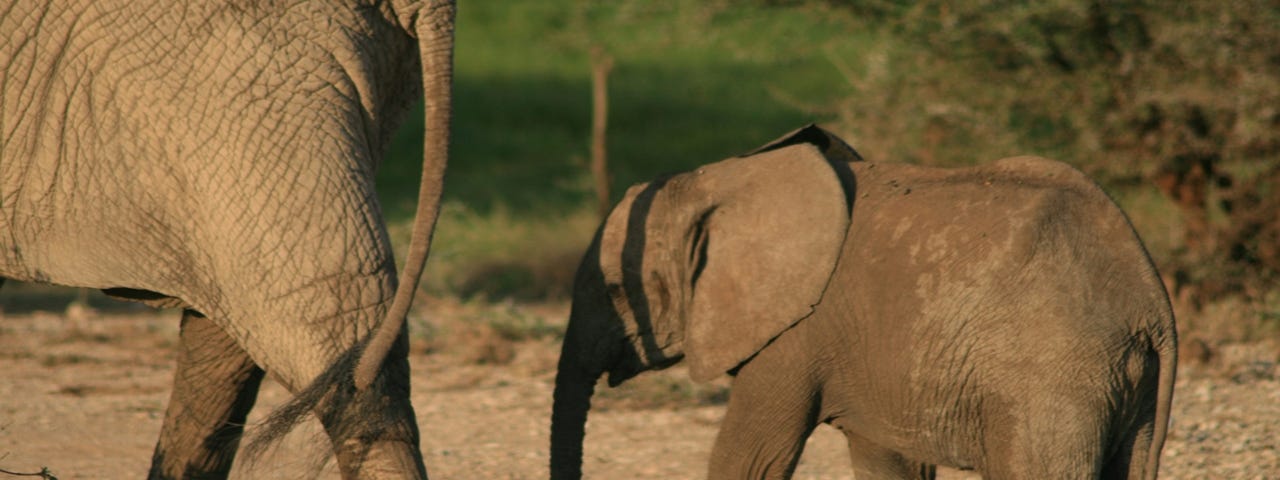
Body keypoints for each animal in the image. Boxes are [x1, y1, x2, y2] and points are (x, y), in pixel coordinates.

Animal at [545, 126, 1172, 480]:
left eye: (617, 291)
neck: (725, 178)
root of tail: (1153, 305)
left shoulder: (795, 334)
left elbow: (750, 458)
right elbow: (889, 463)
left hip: (1051, 379)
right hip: (1120, 383)